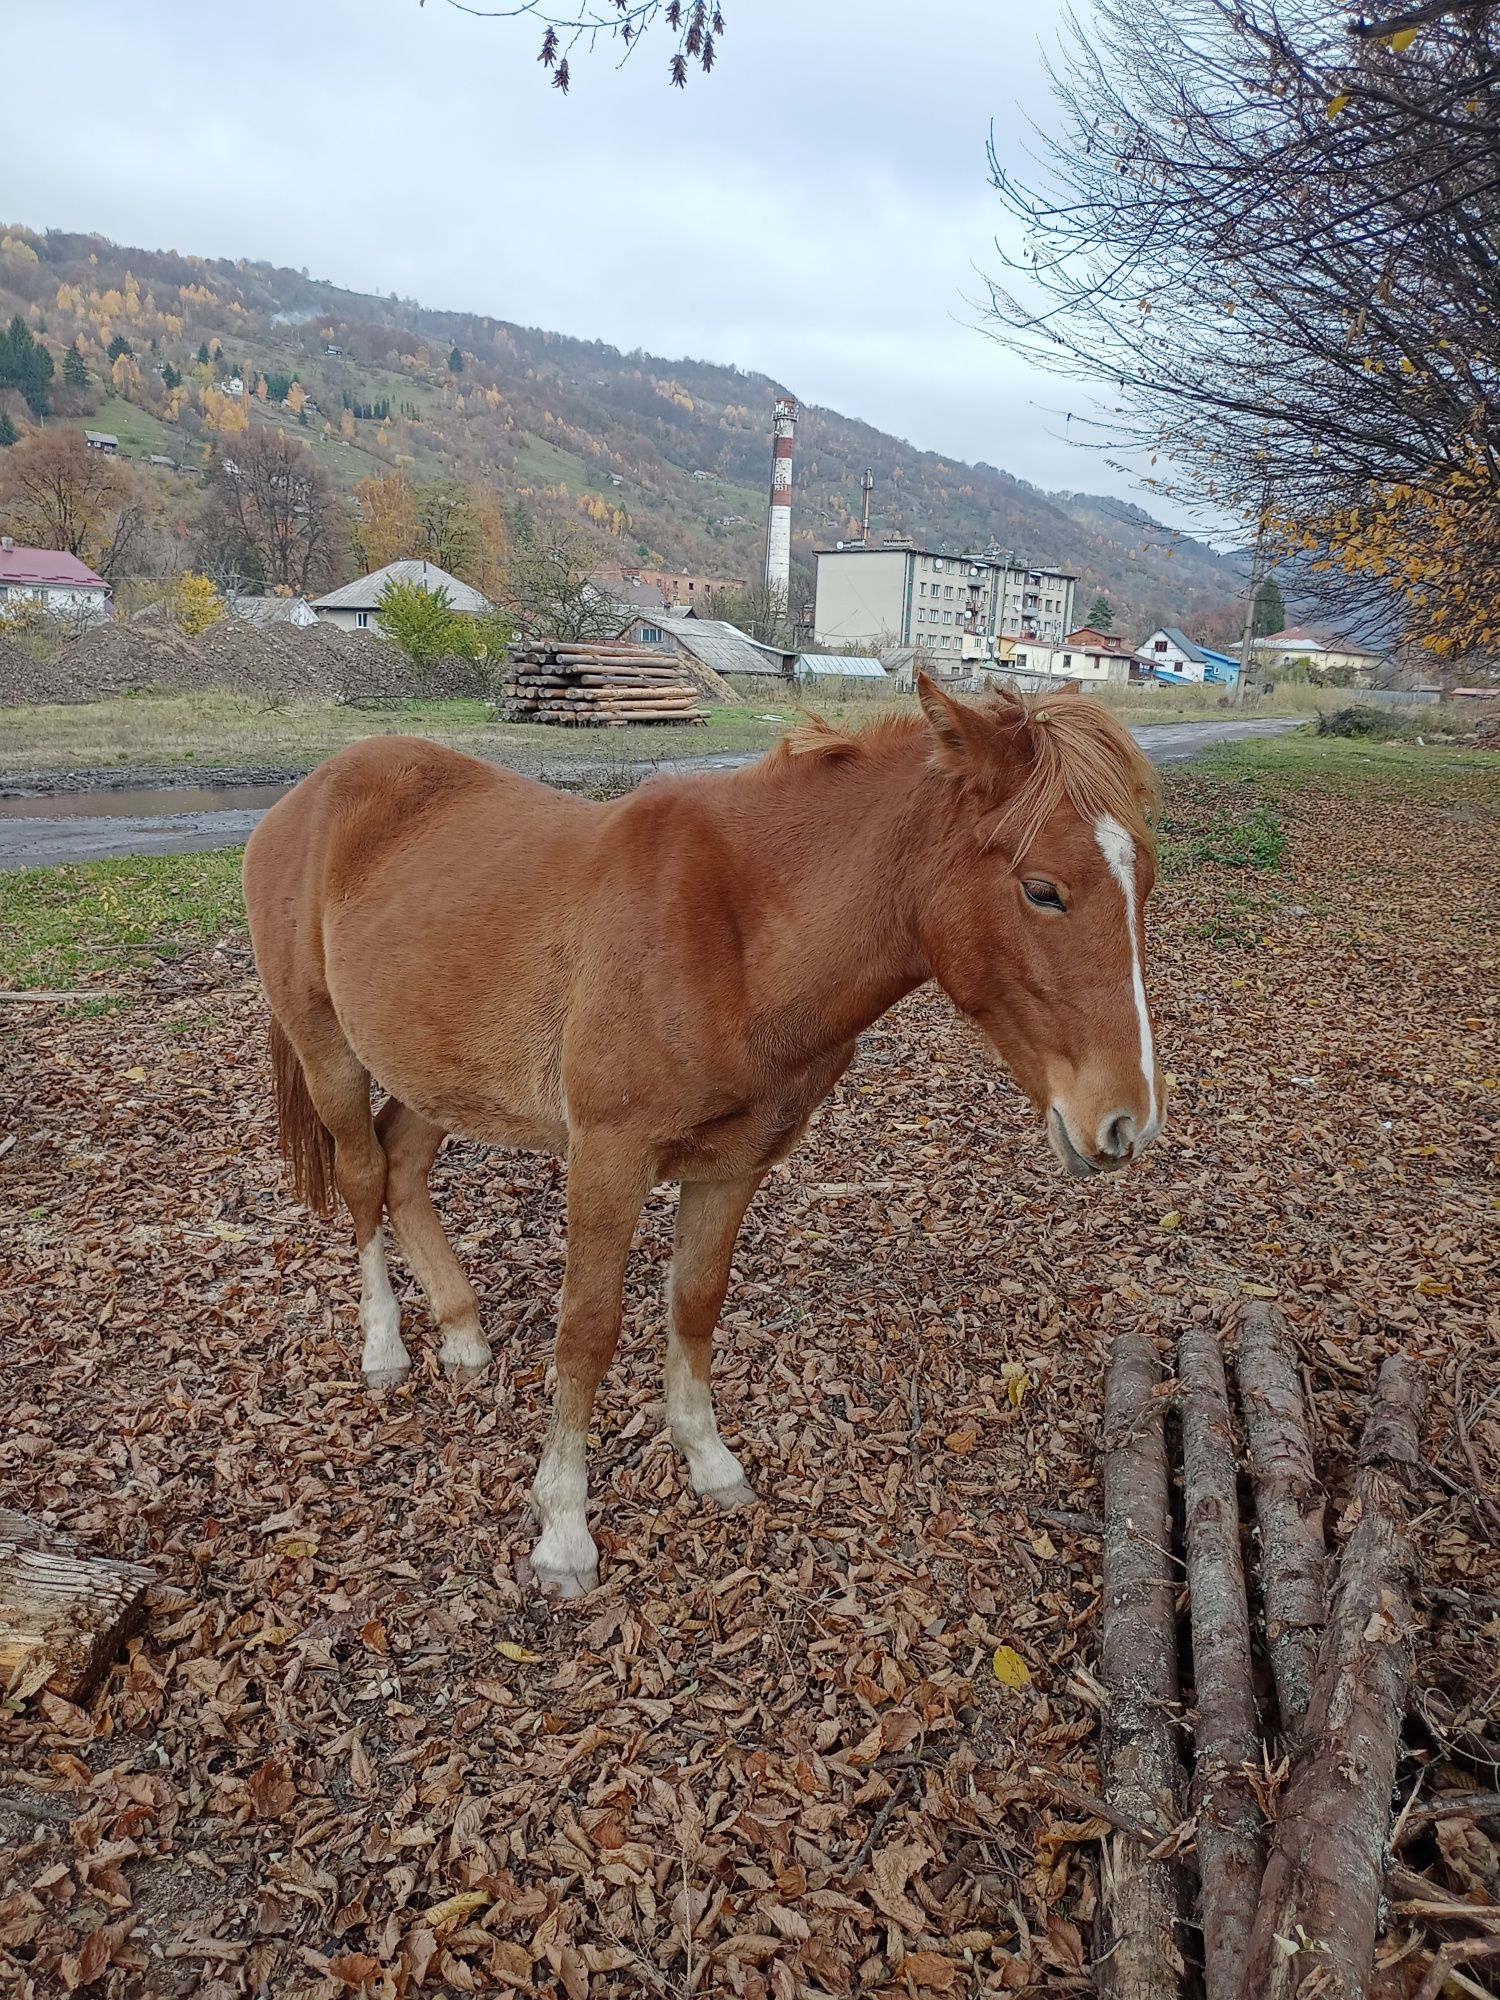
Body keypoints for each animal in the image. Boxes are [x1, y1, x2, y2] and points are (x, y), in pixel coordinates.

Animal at [244, 680, 1160, 1600]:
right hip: (330, 1053)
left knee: (402, 1167)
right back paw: (385, 1347)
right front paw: (563, 1530)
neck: (737, 935)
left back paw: (463, 1333)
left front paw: (707, 1460)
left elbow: (694, 1305)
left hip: (440, 1068)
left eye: (1142, 887)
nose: (1126, 1121)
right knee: (364, 1177)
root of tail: (311, 794)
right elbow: (587, 1332)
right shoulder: (608, 1160)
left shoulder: (733, 1167)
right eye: (1043, 891)